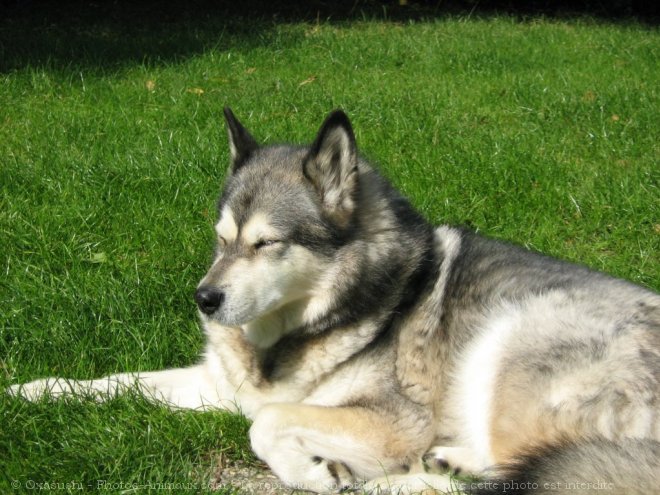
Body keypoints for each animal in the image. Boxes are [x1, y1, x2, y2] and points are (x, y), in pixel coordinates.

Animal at [10, 110, 660, 494]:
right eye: (222, 240)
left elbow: (268, 422)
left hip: (511, 341)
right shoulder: (221, 385)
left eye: (265, 243)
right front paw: (31, 392)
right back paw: (441, 465)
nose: (203, 299)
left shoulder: (396, 419)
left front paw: (312, 472)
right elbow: (119, 381)